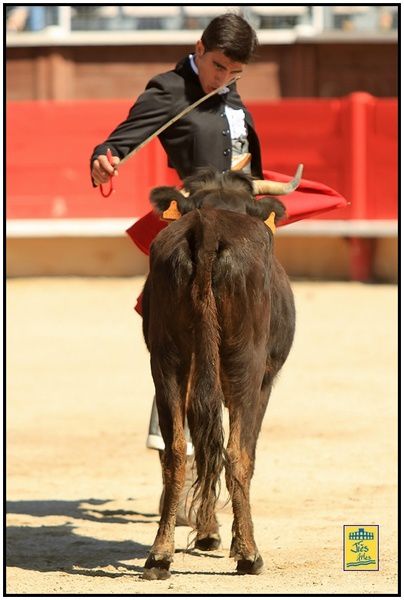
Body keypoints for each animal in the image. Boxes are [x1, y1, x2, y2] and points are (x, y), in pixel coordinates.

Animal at [142, 166, 296, 580]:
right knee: (235, 453)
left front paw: (207, 531)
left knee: (178, 451)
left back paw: (160, 555)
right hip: (246, 361)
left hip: (168, 361)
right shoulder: (266, 382)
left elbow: (197, 445)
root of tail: (208, 226)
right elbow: (244, 453)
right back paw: (249, 554)